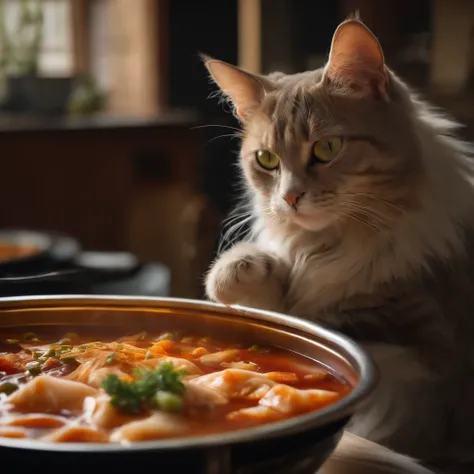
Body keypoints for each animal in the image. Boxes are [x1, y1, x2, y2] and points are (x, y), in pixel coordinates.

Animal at [202, 16, 474, 474]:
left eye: (327, 148)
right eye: (267, 161)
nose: (290, 198)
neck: (329, 248)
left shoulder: (423, 353)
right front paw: (247, 269)